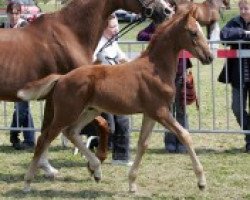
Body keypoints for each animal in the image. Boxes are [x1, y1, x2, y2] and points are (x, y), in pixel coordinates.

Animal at [0, 0, 172, 180]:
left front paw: (46, 167)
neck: (71, 34)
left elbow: (46, 130)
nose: (166, 10)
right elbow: (103, 124)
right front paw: (97, 161)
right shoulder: (75, 101)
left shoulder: (52, 99)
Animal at [18, 4, 213, 192]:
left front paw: (132, 183)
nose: (209, 57)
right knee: (44, 138)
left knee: (71, 131)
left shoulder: (150, 113)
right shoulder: (161, 112)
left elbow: (143, 144)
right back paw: (27, 182)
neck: (155, 69)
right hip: (67, 113)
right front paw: (201, 182)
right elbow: (185, 135)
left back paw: (96, 170)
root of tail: (61, 78)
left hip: (89, 110)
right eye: (193, 32)